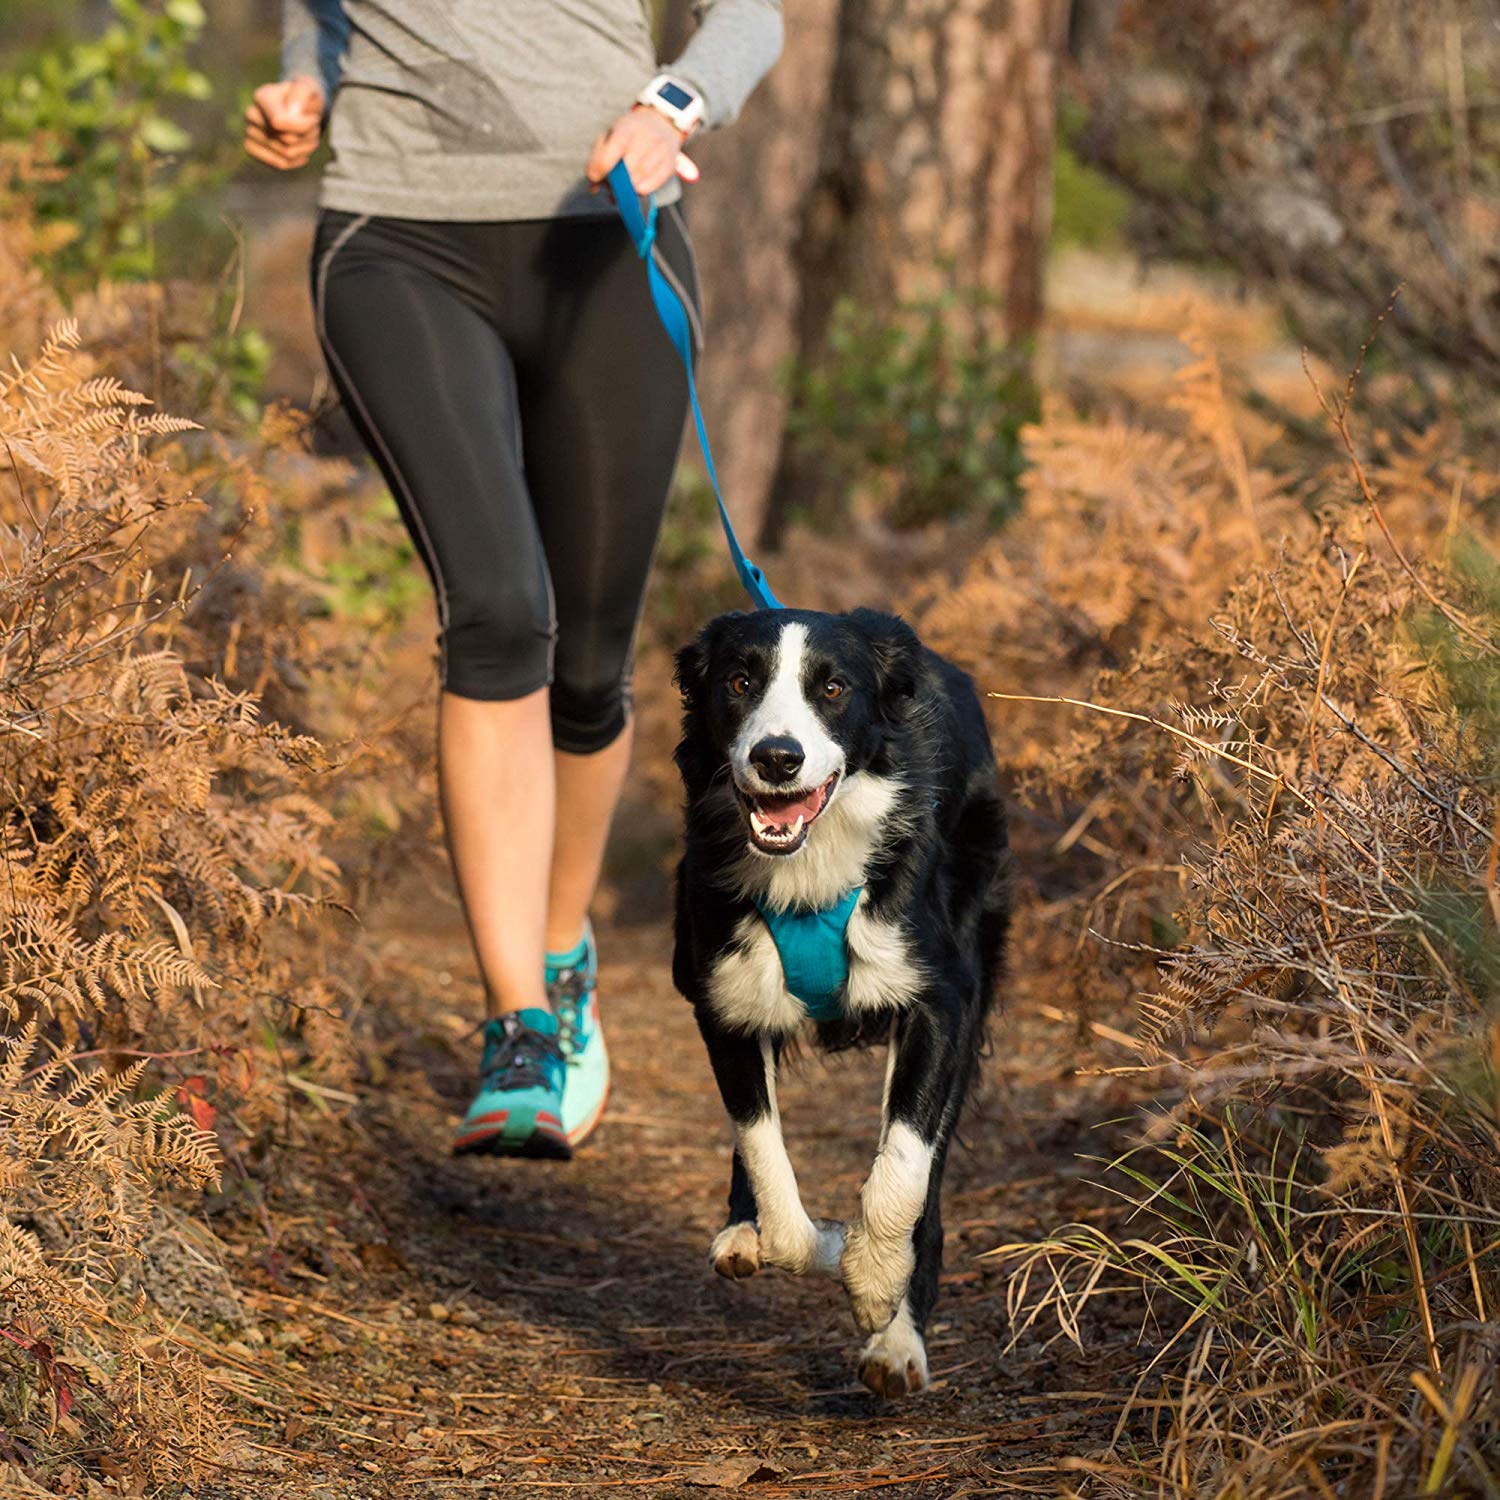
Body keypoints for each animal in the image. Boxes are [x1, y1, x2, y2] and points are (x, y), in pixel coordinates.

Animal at [672, 603, 1008, 1398]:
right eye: (740, 681)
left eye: (832, 688)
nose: (777, 759)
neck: (808, 867)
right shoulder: (724, 1003)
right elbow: (765, 1157)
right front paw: (818, 1242)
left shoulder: (940, 1000)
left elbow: (904, 1167)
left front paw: (877, 1281)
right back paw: (743, 1230)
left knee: (929, 1177)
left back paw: (899, 1341)